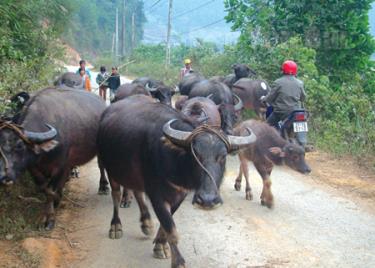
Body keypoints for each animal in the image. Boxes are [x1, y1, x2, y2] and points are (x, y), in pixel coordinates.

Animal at [0, 87, 106, 228]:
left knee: (101, 166)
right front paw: (56, 201)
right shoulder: (33, 167)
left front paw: (49, 218)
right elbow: (44, 188)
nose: (3, 177)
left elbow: (51, 189)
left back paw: (103, 186)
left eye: (19, 146)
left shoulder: (61, 166)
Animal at [97, 95, 258, 266]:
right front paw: (177, 261)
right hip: (110, 169)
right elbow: (171, 229)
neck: (175, 161)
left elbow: (166, 224)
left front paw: (160, 244)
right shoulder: (156, 195)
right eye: (195, 155)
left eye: (222, 156)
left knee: (137, 192)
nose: (207, 200)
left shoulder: (180, 195)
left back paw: (146, 222)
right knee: (115, 195)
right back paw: (115, 226)